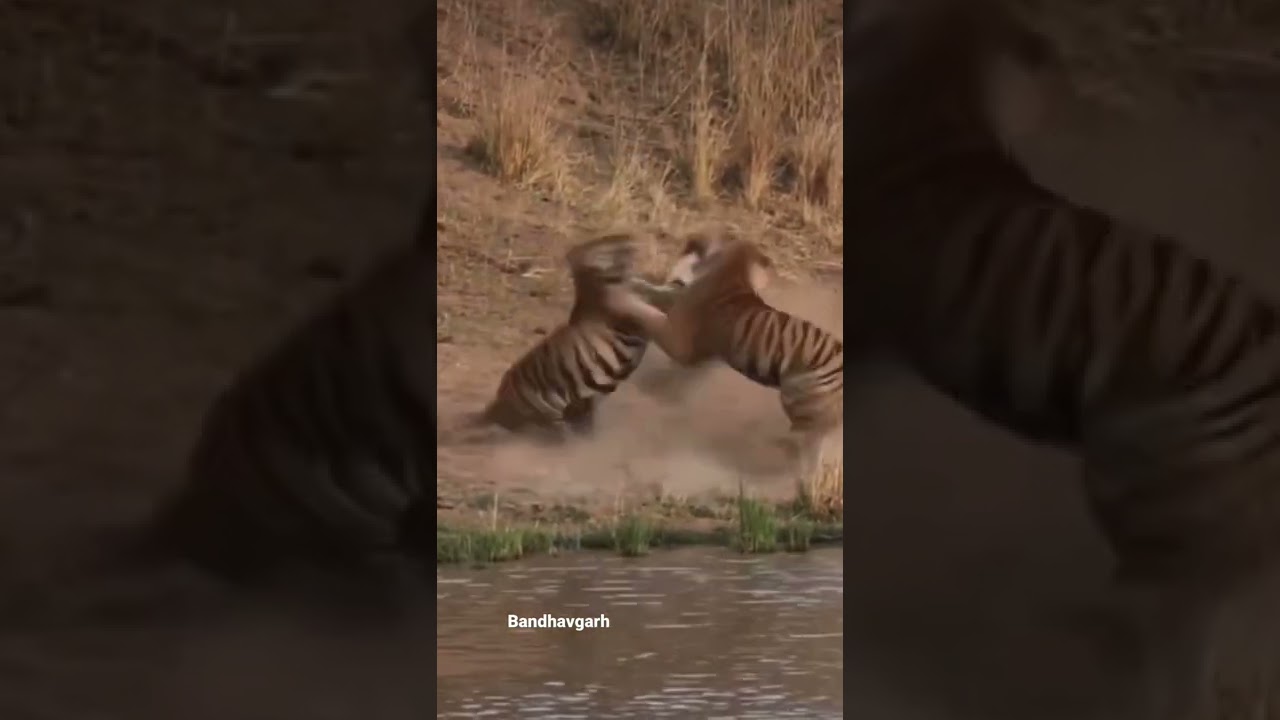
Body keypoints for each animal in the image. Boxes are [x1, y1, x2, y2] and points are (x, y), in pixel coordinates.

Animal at [462, 232, 690, 444]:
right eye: (611, 245)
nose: (632, 240)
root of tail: (499, 400)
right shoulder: (647, 314)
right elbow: (667, 300)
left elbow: (664, 287)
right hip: (552, 413)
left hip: (576, 407)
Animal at [608, 229, 845, 481]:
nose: (691, 241)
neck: (736, 267)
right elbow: (656, 295)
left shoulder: (679, 342)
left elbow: (649, 315)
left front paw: (622, 297)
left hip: (795, 396)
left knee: (811, 440)